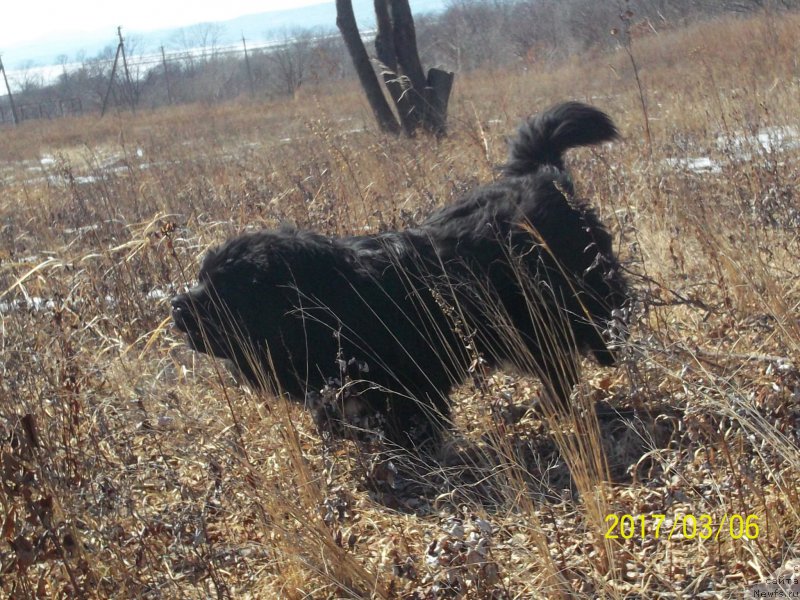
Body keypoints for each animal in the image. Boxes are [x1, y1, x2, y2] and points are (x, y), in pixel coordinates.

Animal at [172, 102, 628, 446]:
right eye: (201, 278)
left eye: (220, 290)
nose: (176, 305)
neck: (327, 300)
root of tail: (543, 176)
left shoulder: (407, 382)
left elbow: (410, 422)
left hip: (567, 306)